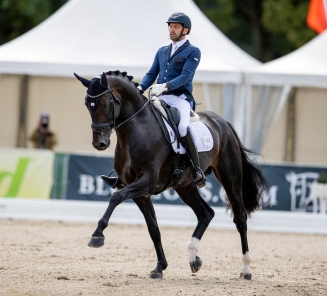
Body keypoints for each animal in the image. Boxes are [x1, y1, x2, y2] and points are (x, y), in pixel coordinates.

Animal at [75, 70, 270, 280]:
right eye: (87, 103)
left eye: (104, 103)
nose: (100, 143)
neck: (136, 128)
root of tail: (222, 122)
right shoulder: (139, 191)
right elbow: (153, 228)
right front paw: (159, 267)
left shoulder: (147, 182)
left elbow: (116, 197)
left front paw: (97, 235)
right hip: (185, 186)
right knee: (206, 213)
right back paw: (194, 258)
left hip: (230, 177)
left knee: (240, 218)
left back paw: (246, 270)